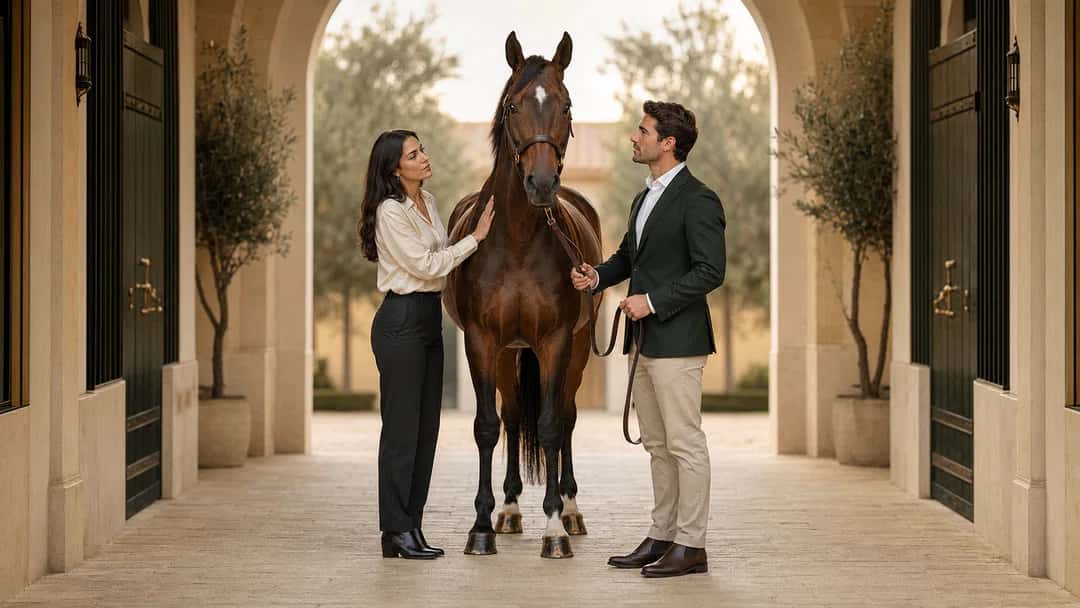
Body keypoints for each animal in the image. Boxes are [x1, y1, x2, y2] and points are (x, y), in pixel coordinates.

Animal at [443, 31, 603, 559]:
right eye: (513, 106)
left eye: (566, 105)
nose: (542, 183)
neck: (515, 241)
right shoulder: (480, 340)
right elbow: (487, 426)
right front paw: (481, 527)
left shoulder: (555, 340)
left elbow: (552, 425)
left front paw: (554, 528)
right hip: (508, 353)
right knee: (512, 419)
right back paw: (510, 510)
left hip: (578, 347)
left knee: (567, 417)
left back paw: (570, 510)